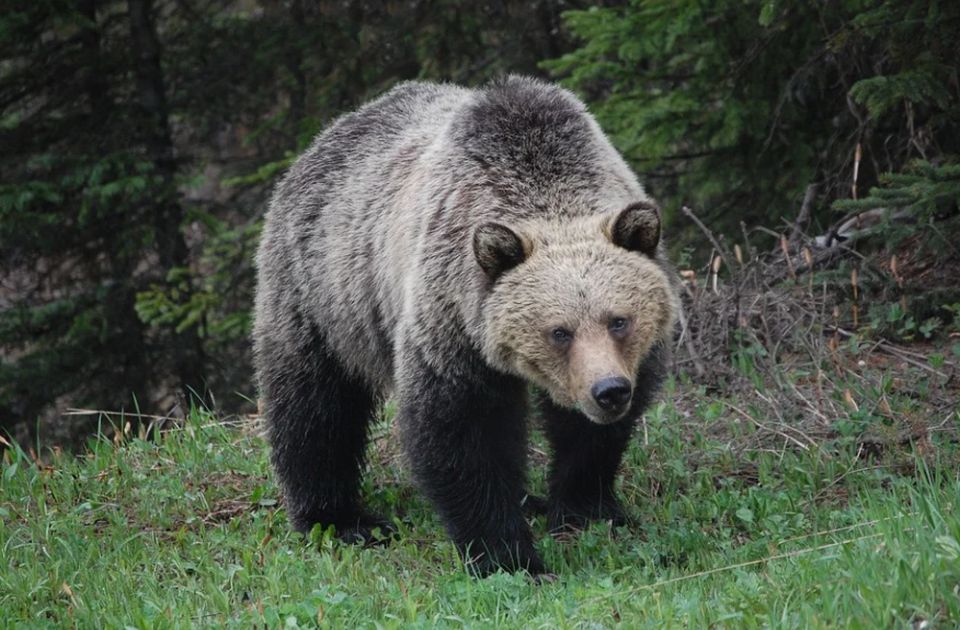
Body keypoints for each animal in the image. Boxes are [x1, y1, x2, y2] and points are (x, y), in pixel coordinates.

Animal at [251, 75, 680, 576]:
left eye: (619, 321)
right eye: (559, 331)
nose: (608, 391)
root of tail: (325, 137)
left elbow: (591, 437)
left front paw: (587, 508)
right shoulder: (452, 319)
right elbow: (463, 431)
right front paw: (509, 556)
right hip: (323, 291)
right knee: (315, 406)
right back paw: (340, 519)